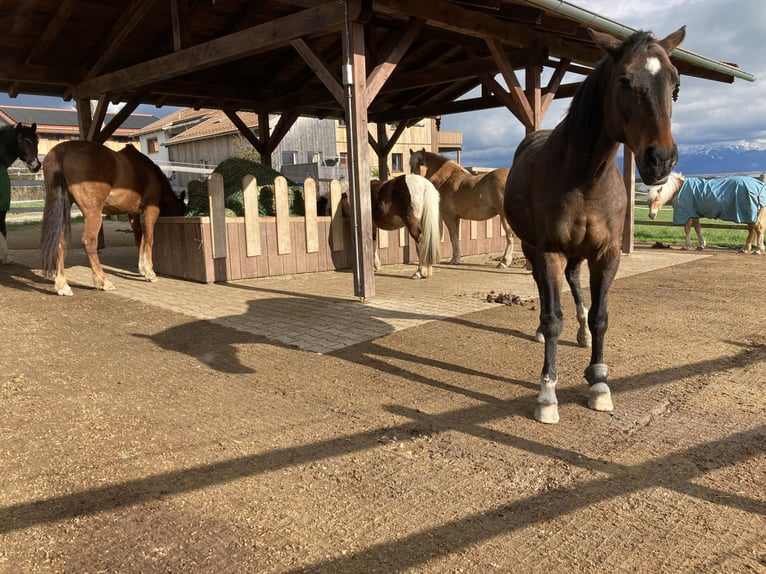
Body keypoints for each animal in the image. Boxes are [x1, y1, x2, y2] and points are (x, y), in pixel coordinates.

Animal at [41, 141, 187, 296]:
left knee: (60, 241)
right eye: (181, 210)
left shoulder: (132, 213)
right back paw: (103, 281)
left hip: (64, 207)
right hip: (93, 213)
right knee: (89, 241)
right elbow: (148, 239)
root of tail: (61, 151)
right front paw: (150, 272)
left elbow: (139, 238)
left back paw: (62, 285)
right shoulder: (151, 210)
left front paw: (142, 269)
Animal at [508, 27, 688, 424]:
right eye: (624, 80)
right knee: (546, 292)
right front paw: (547, 395)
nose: (660, 159)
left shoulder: (607, 254)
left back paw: (582, 333)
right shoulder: (550, 251)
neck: (586, 180)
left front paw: (599, 383)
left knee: (575, 283)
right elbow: (552, 317)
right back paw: (542, 333)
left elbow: (601, 317)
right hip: (533, 247)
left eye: (676, 84)